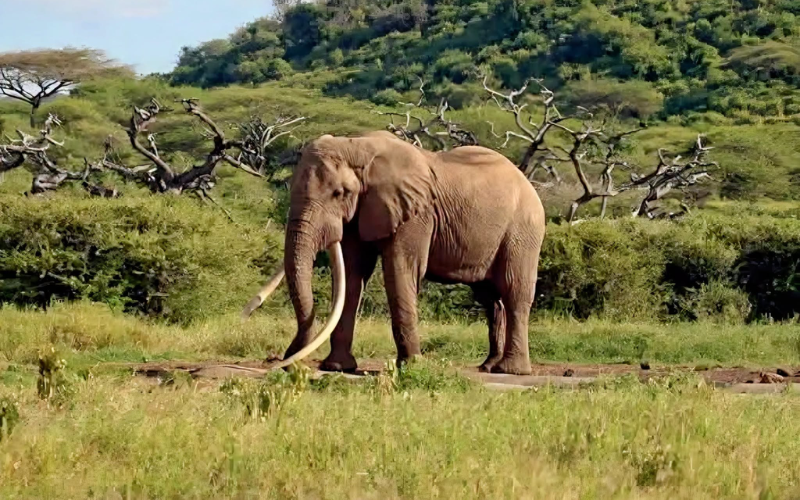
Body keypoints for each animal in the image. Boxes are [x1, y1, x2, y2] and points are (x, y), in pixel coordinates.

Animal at [242, 130, 546, 375]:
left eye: (339, 193)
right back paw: (488, 367)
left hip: (523, 229)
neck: (357, 146)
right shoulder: (361, 212)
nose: (281, 362)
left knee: (515, 292)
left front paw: (411, 366)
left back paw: (512, 371)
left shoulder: (416, 214)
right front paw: (338, 367)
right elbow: (353, 274)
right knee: (490, 299)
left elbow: (401, 270)